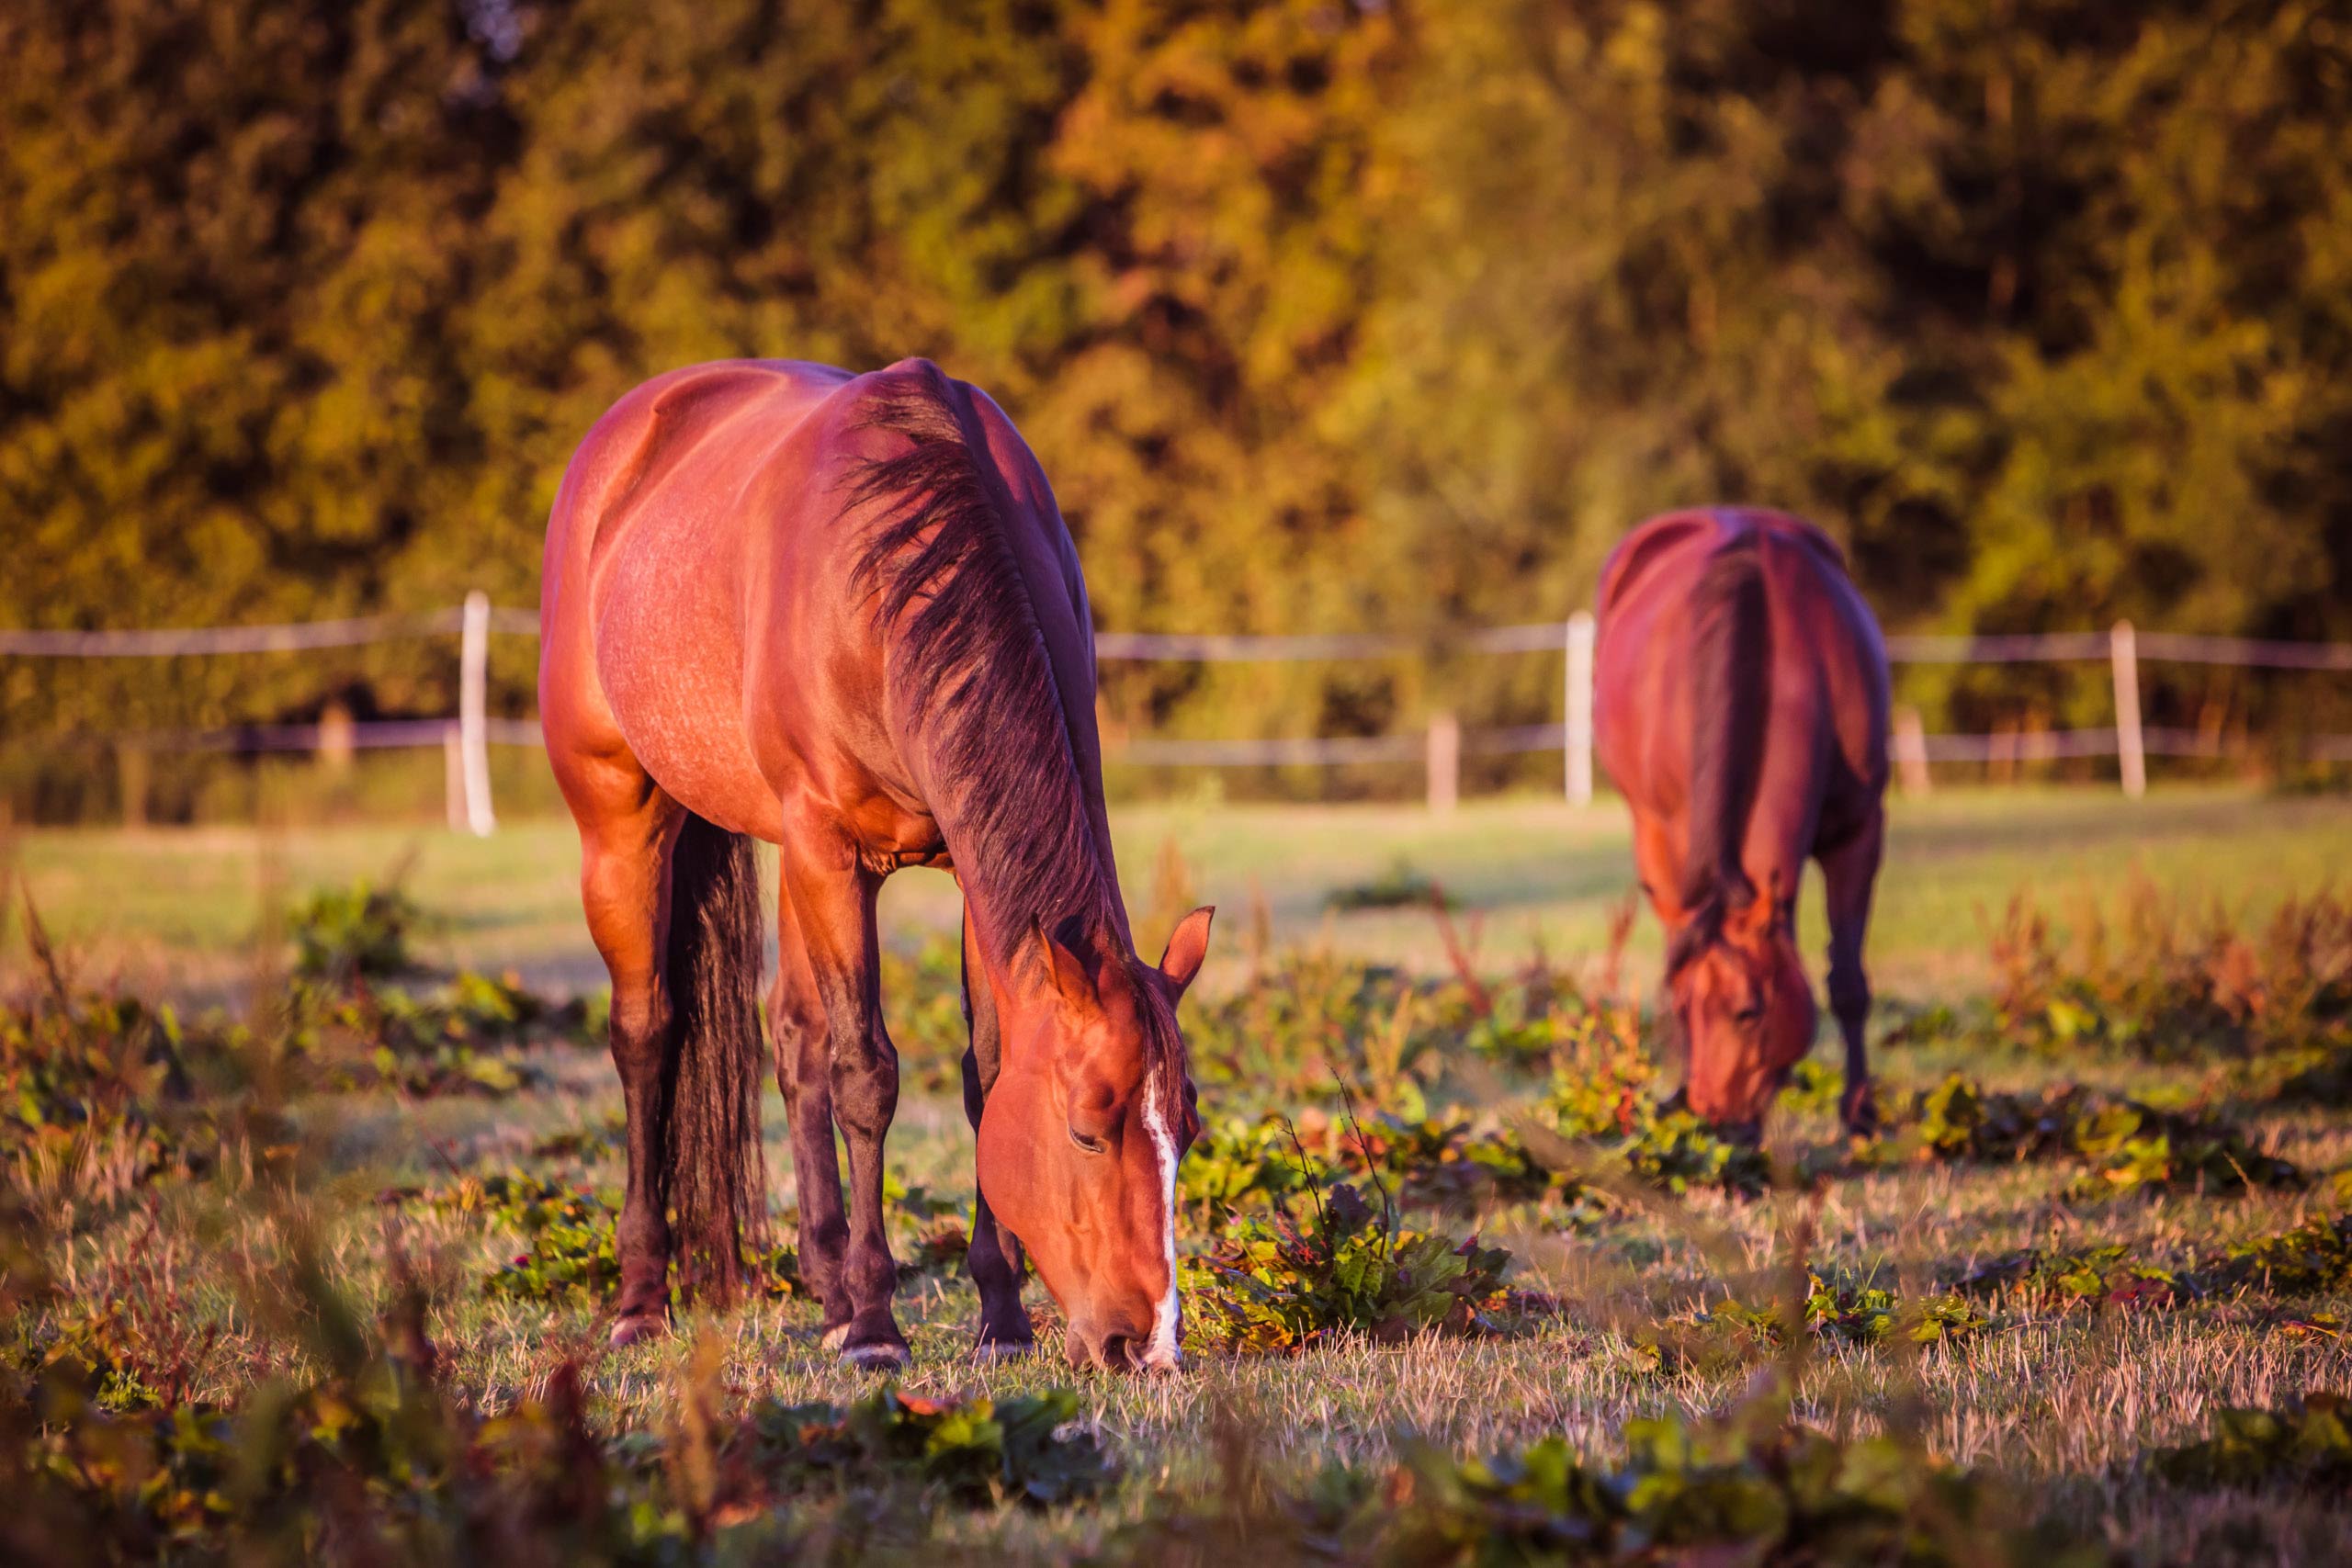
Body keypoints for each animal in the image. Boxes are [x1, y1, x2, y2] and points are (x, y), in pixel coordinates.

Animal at [538, 359, 1213, 1372]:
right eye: (1087, 1134)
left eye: (1189, 1129)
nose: (1149, 1344)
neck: (889, 583)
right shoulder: (834, 855)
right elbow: (866, 1073)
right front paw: (877, 1327)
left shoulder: (972, 877)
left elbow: (979, 1073)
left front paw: (998, 1315)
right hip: (627, 825)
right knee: (648, 1036)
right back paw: (644, 1300)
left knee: (789, 1037)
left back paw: (823, 1290)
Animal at [1589, 510, 1900, 1133]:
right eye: (1687, 1006)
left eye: (1749, 1012)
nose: (1716, 1118)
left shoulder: (1859, 833)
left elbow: (1848, 981)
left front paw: (1859, 1112)